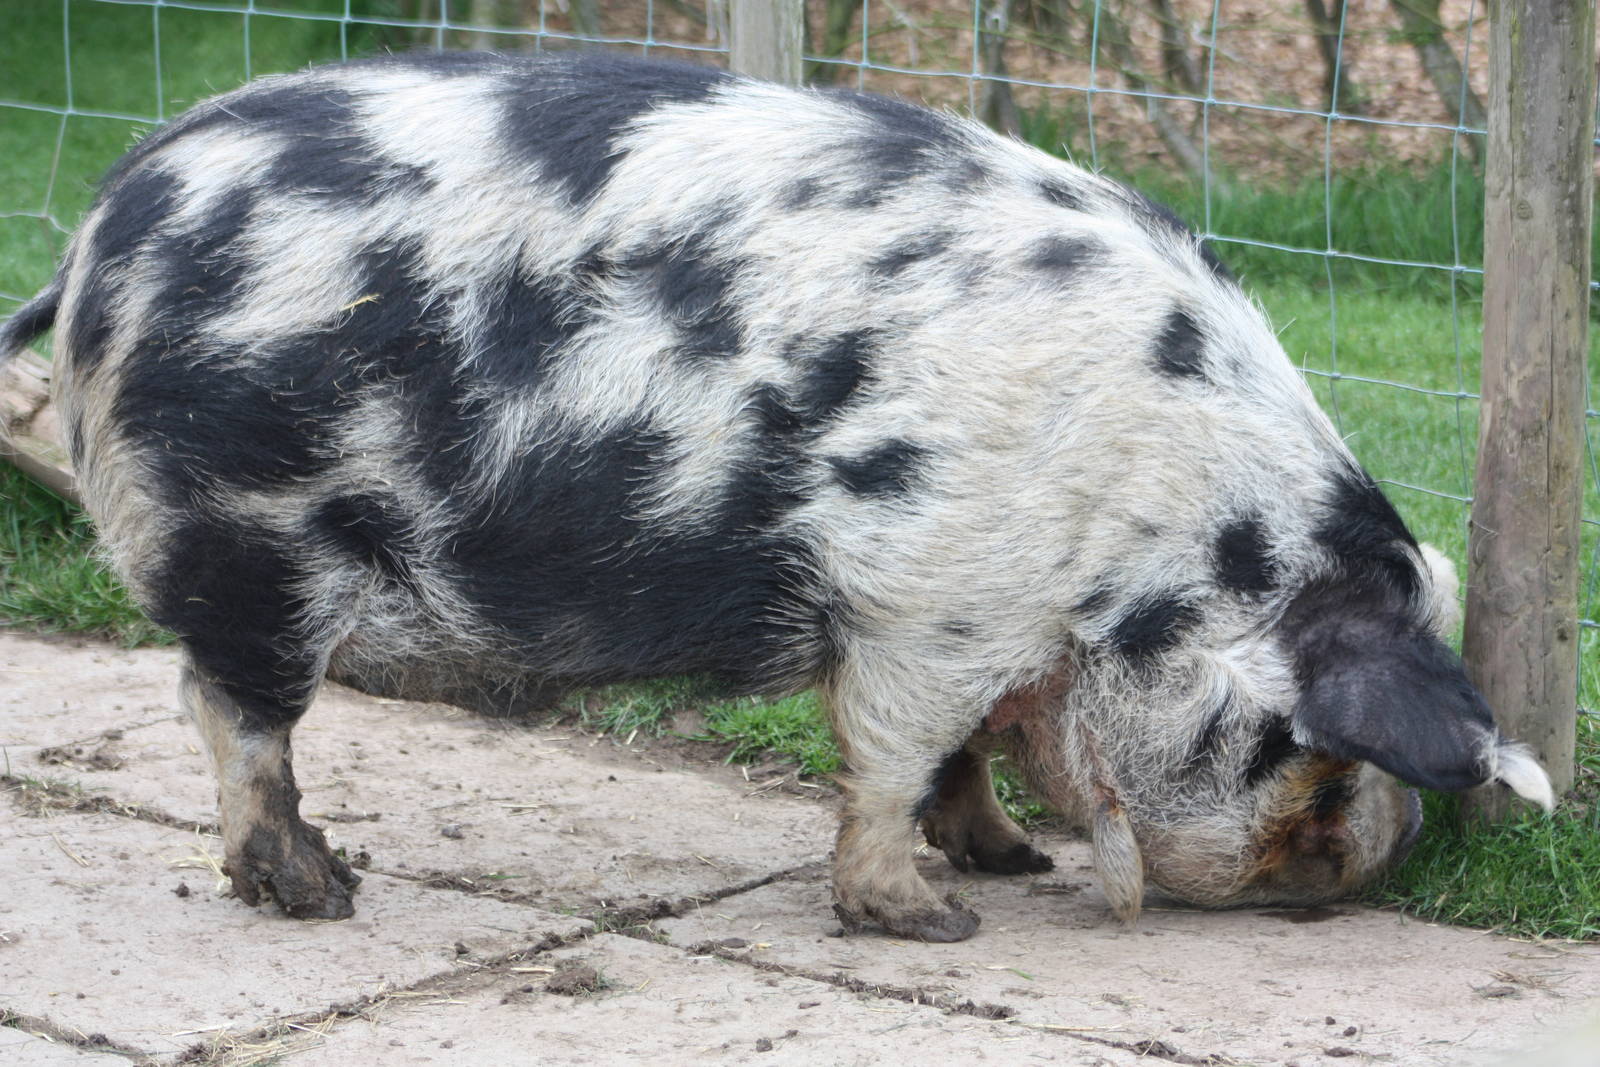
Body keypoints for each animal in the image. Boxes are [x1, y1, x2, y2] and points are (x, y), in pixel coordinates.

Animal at [0, 50, 1554, 942]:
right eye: (1313, 756)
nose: (1359, 866)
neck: (1154, 535)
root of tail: (101, 227)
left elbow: (954, 756)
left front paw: (1003, 864)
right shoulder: (929, 597)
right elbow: (892, 751)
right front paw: (934, 923)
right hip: (245, 527)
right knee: (230, 709)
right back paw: (319, 890)